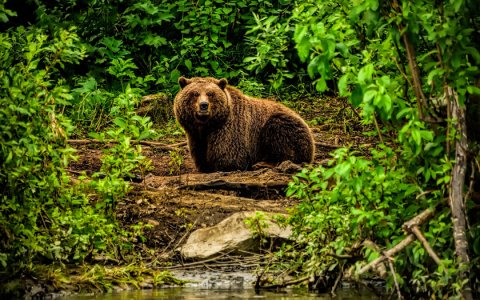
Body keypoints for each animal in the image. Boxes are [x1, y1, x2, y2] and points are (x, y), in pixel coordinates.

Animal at [172, 76, 316, 172]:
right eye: (195, 93)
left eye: (210, 93)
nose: (203, 105)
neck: (208, 125)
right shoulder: (195, 135)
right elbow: (200, 154)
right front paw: (204, 166)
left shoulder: (229, 130)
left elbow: (228, 157)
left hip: (283, 125)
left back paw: (263, 164)